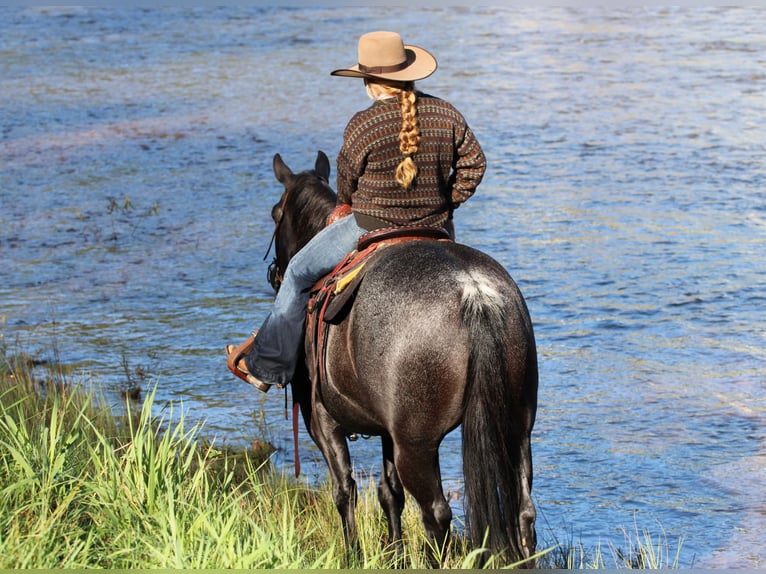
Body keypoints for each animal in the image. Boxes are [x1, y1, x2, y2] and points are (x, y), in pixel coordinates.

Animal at [265, 151, 539, 567]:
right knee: (524, 512)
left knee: (436, 514)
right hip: (516, 428)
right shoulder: (386, 430)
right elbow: (388, 493)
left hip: (417, 445)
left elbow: (344, 490)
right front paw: (393, 554)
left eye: (275, 213)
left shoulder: (322, 421)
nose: (275, 274)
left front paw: (353, 555)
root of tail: (474, 292)